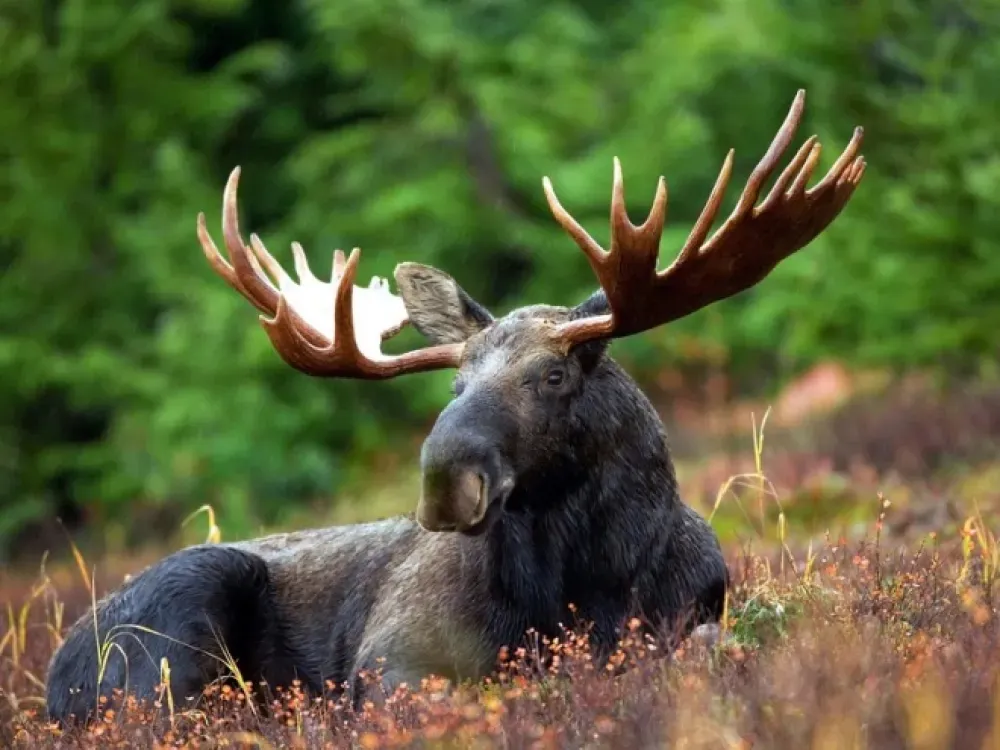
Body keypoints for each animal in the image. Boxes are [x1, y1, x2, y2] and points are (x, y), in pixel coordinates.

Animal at [45, 90, 865, 724]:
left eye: (553, 375)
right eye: (455, 385)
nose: (445, 480)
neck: (586, 583)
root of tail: (54, 675)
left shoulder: (693, 615)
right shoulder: (391, 659)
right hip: (179, 620)